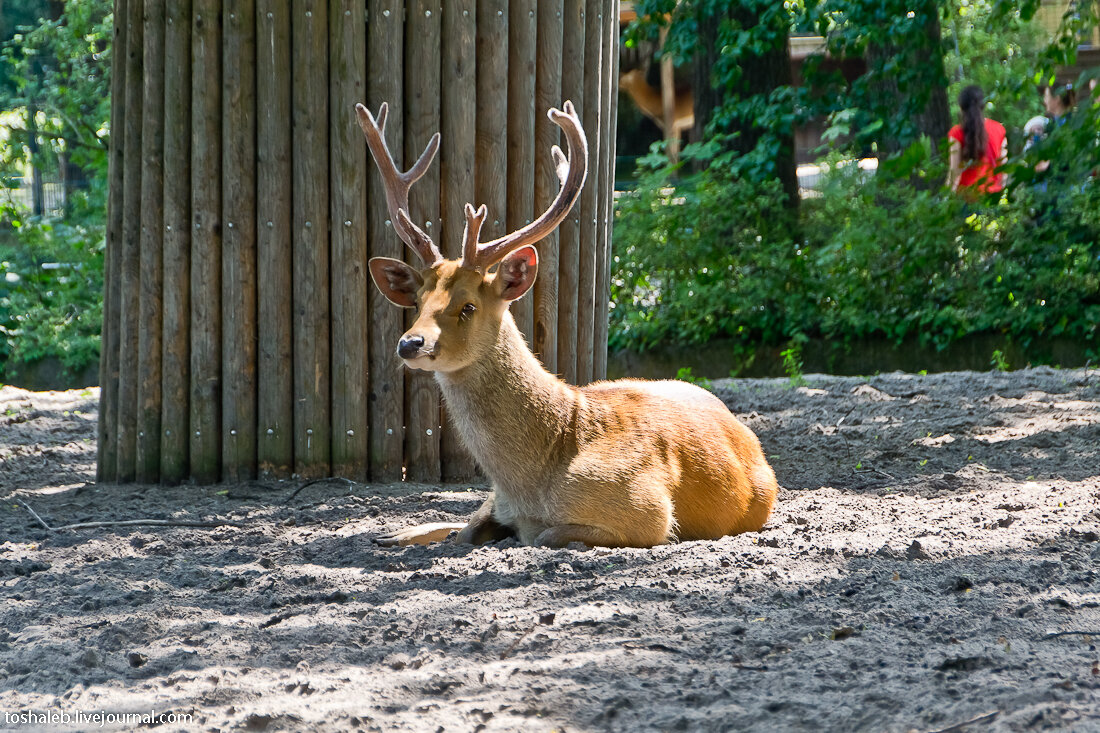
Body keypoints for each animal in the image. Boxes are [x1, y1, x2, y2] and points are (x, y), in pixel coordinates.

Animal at [356, 98, 778, 548]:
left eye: (468, 306)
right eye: (418, 301)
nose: (410, 343)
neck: (536, 479)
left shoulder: (649, 511)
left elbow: (542, 536)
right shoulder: (498, 501)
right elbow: (467, 531)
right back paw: (393, 534)